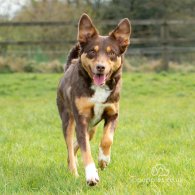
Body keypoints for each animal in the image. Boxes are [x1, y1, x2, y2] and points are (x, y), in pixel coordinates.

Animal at [56, 13, 131, 186]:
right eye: (91, 51)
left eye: (112, 53)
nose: (100, 67)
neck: (98, 88)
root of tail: (70, 65)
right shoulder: (81, 119)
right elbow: (86, 150)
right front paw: (91, 175)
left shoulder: (112, 114)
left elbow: (107, 139)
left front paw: (104, 159)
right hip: (68, 120)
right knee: (70, 144)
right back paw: (73, 171)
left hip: (92, 127)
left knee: (77, 144)